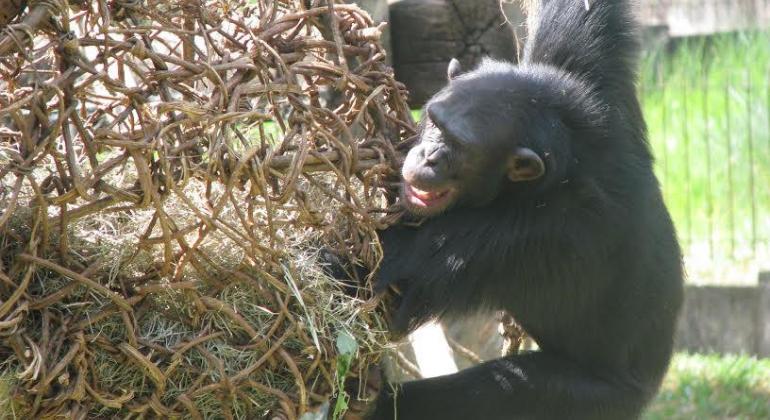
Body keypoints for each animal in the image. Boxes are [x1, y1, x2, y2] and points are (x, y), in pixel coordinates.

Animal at [356, 0, 680, 420]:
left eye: (459, 146)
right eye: (436, 121)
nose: (429, 156)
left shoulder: (524, 237)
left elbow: (378, 272)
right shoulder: (587, 86)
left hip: (593, 400)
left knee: (489, 393)